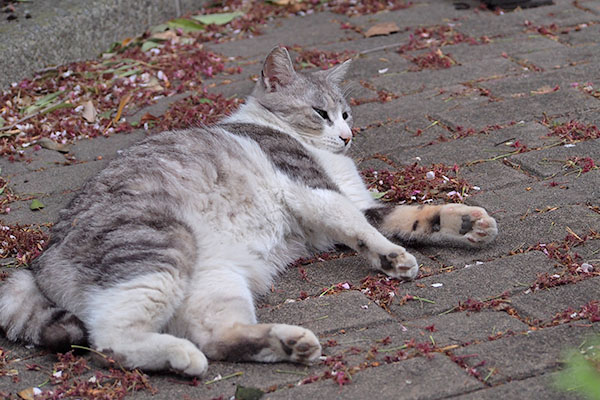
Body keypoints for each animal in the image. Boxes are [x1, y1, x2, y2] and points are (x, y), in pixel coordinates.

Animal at [0, 46, 496, 376]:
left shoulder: (356, 205)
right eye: (320, 113)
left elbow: (412, 215)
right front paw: (392, 258)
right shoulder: (314, 190)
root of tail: (40, 259)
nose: (346, 137)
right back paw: (183, 357)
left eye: (347, 114)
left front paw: (466, 222)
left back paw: (288, 343)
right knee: (111, 340)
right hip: (160, 245)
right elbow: (368, 231)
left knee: (215, 337)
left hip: (214, 282)